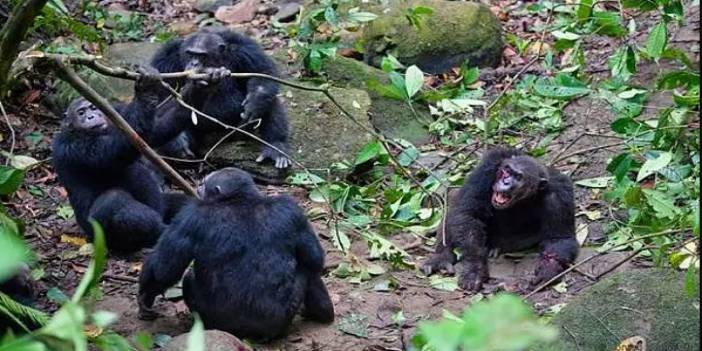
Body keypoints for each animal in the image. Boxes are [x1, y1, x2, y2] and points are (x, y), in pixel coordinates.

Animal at [140, 169, 336, 342]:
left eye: (205, 183)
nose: (199, 186)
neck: (241, 200)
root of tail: (256, 334)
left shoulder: (190, 215)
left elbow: (163, 270)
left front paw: (145, 296)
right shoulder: (291, 209)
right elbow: (315, 257)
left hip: (217, 319)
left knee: (187, 279)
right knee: (309, 268)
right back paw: (323, 312)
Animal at [151, 28, 292, 169]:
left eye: (202, 55)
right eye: (190, 54)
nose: (194, 63)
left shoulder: (246, 48)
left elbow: (263, 70)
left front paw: (254, 103)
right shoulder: (165, 58)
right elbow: (161, 96)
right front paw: (178, 142)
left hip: (239, 132)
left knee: (270, 101)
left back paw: (275, 147)